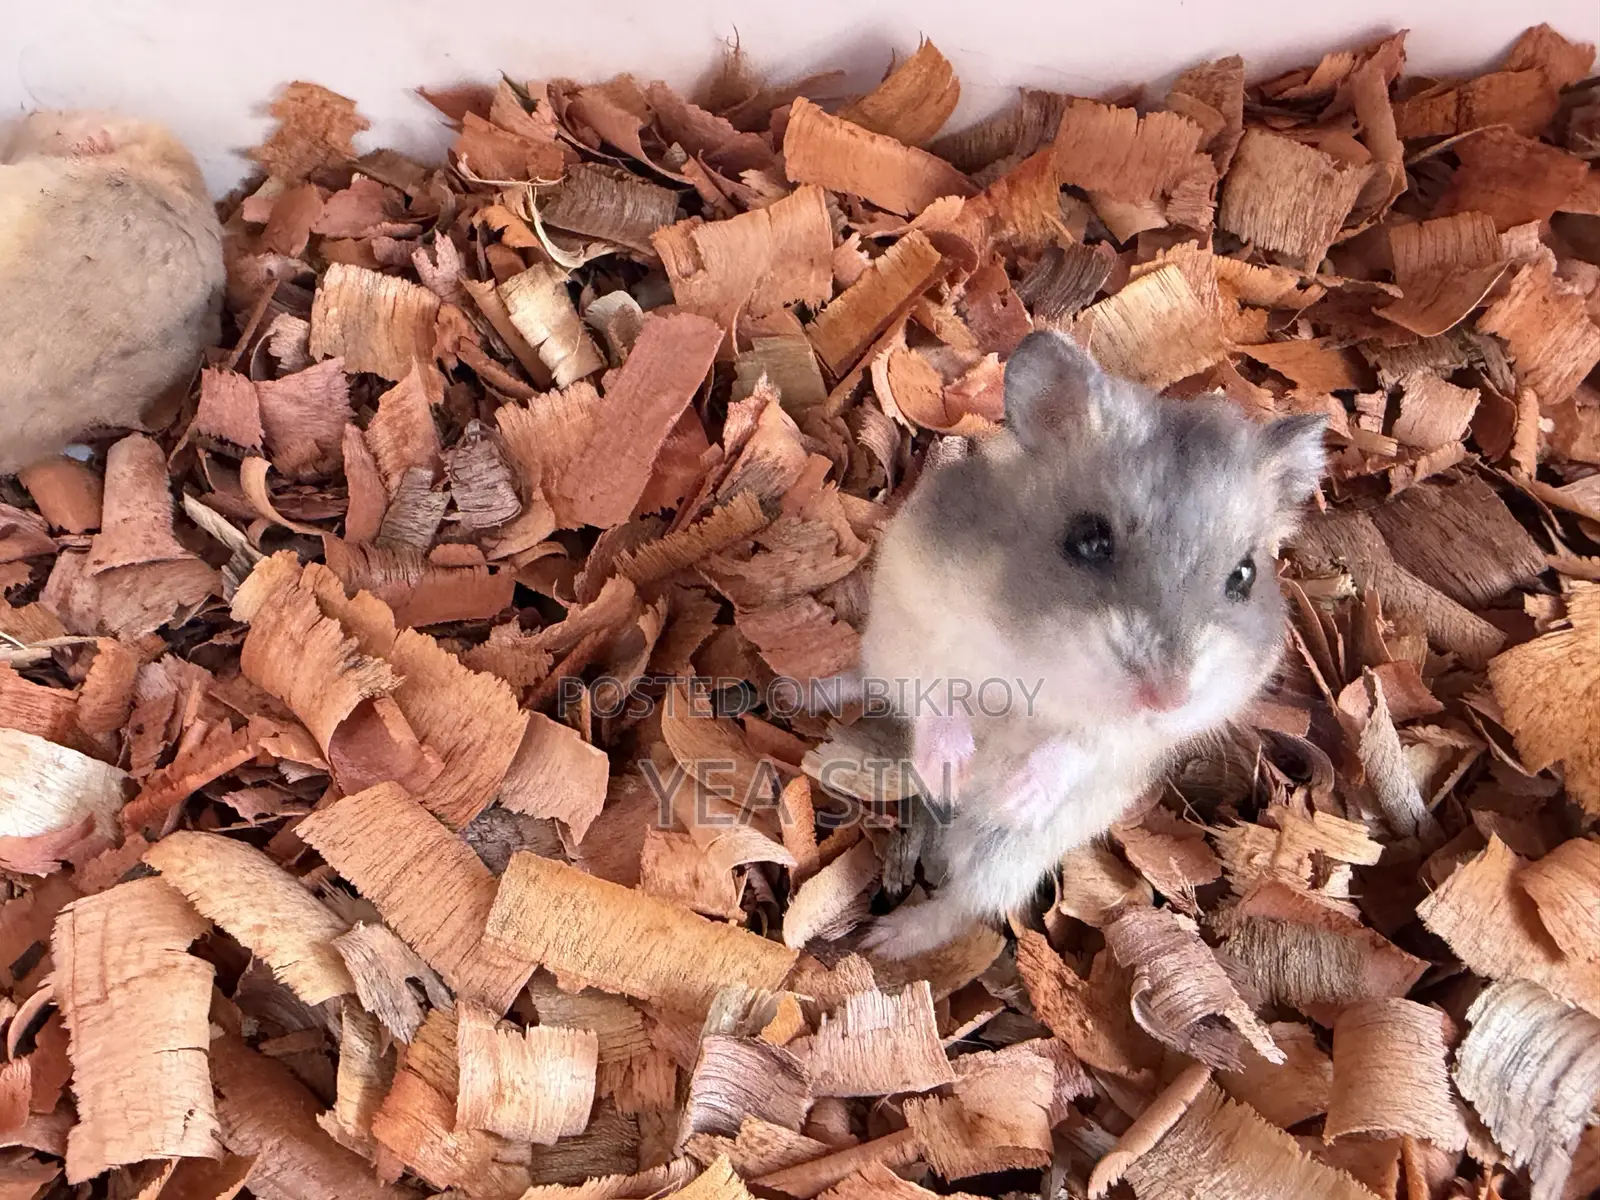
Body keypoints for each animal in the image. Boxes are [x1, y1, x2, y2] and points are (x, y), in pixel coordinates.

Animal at [858, 330, 1325, 958]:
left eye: (1245, 575)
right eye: (1089, 540)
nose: (1168, 699)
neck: (1037, 659)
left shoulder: (1138, 738)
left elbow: (1083, 743)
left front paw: (1014, 793)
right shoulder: (911, 621)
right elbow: (938, 697)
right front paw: (952, 769)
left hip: (1007, 851)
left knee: (968, 904)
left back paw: (889, 935)